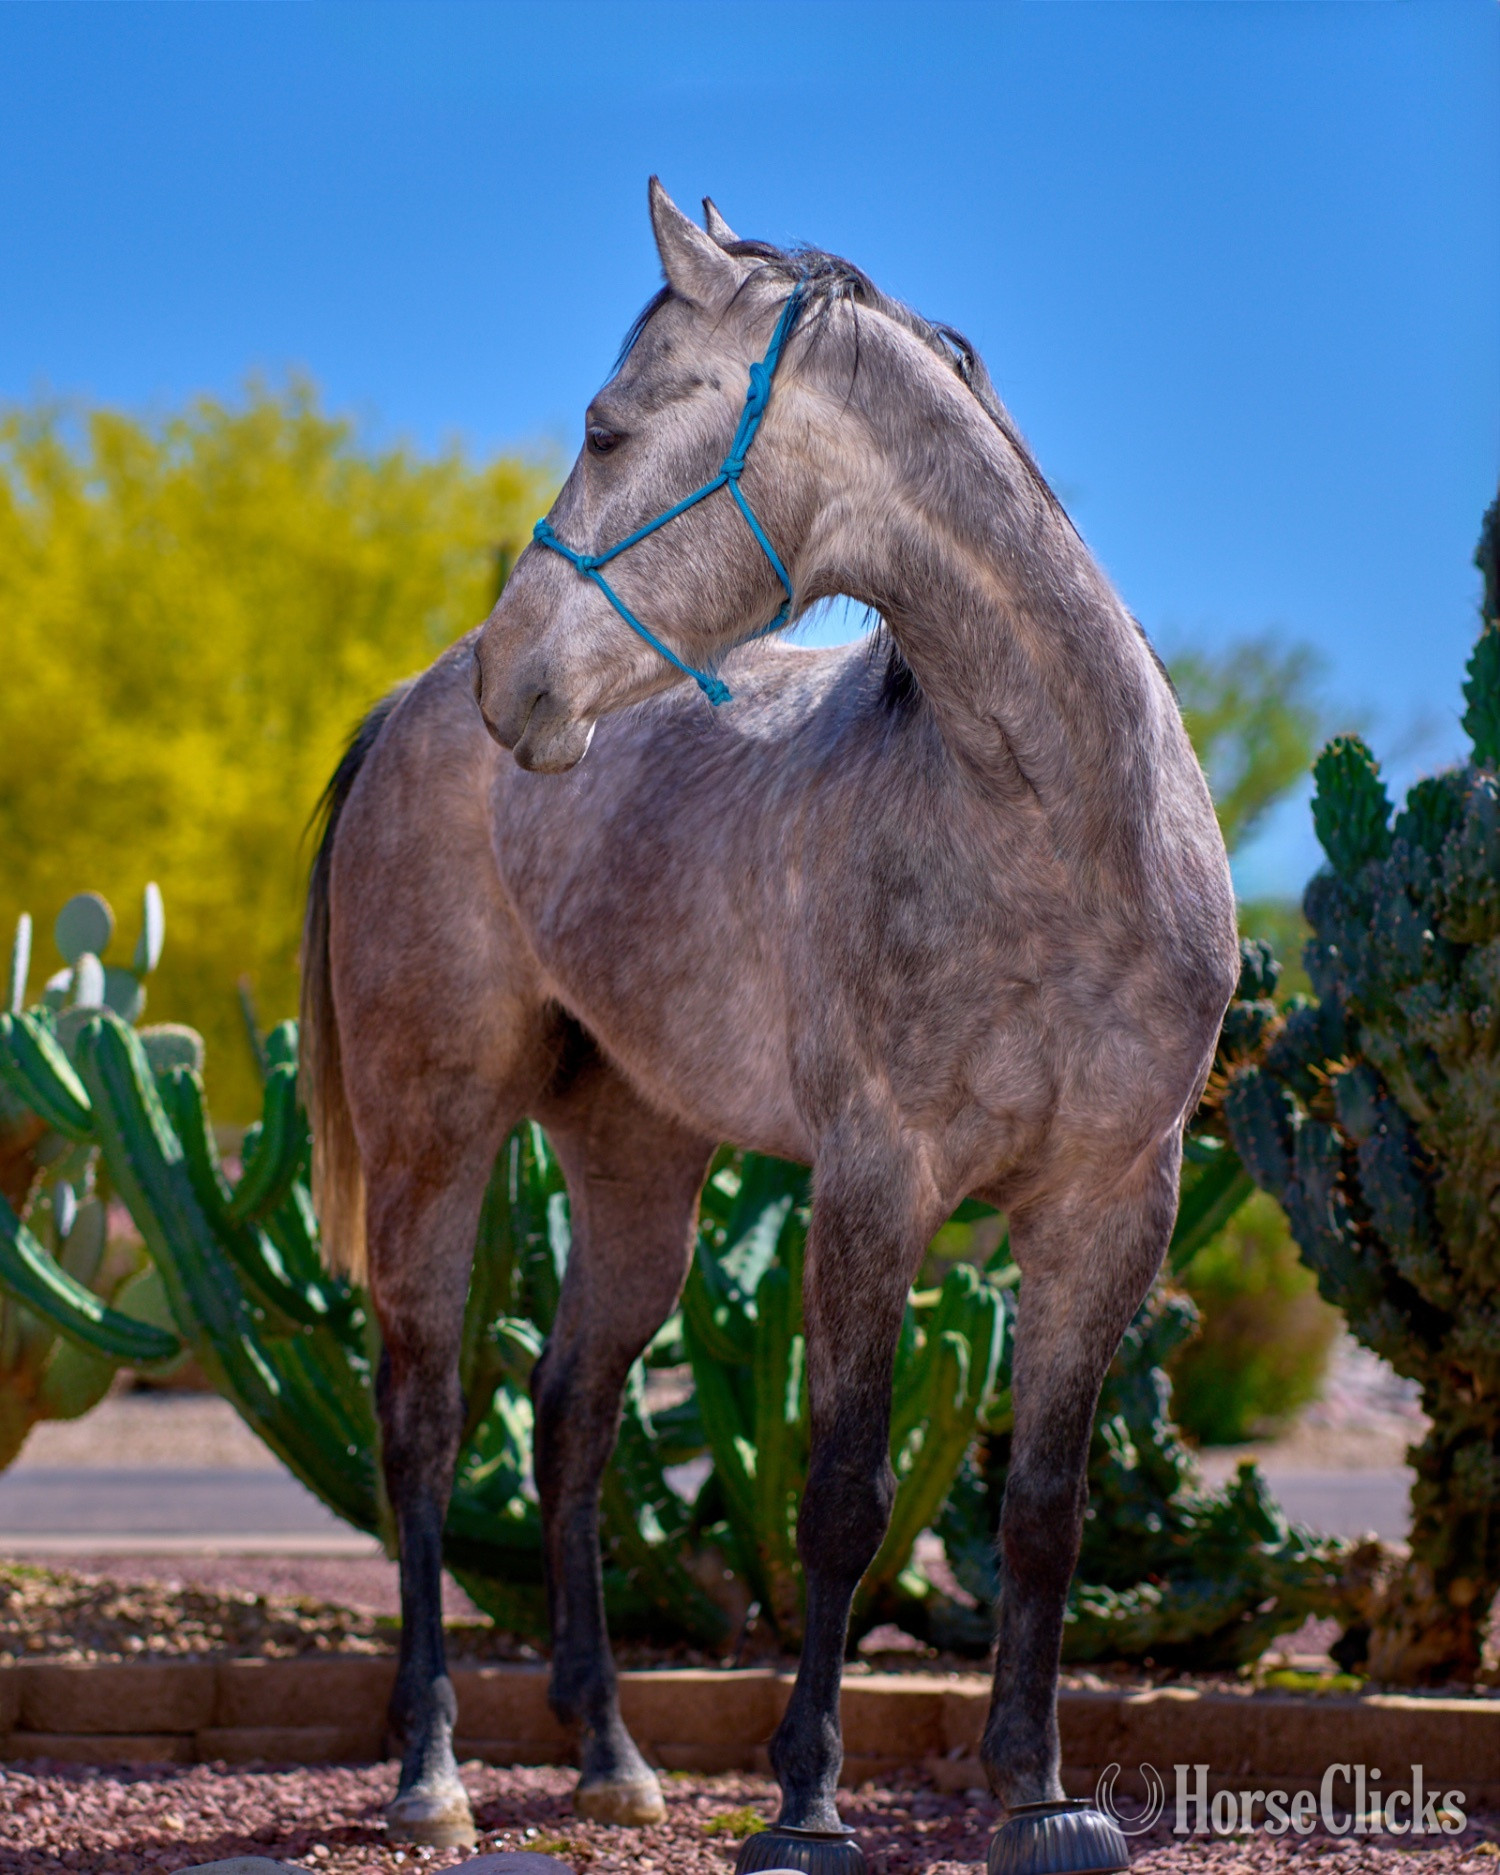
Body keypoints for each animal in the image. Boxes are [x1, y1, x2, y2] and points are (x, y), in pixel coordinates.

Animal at [301, 181, 1238, 1859]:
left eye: (606, 429)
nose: (508, 679)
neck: (1058, 828)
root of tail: (406, 709)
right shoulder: (876, 1186)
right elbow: (846, 1499)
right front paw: (806, 1802)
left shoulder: (1111, 1208)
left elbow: (1043, 1512)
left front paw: (1036, 1792)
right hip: (434, 1136)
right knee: (425, 1418)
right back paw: (431, 1770)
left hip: (638, 1169)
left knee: (571, 1414)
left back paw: (609, 1750)